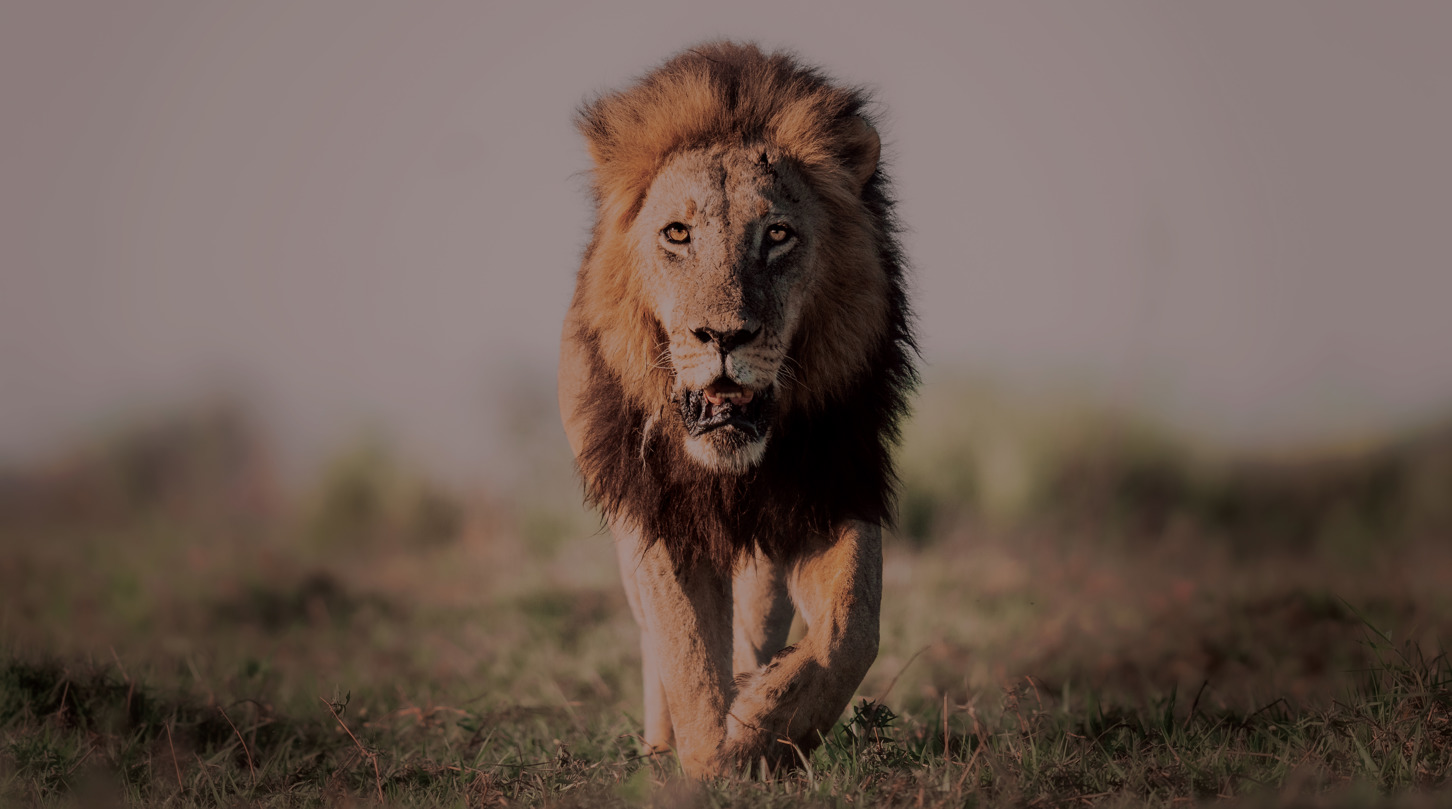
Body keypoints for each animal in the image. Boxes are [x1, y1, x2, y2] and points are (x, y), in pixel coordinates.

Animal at [557, 41, 916, 777]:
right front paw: (709, 766)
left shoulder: (832, 482)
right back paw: (660, 746)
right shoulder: (656, 512)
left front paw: (760, 726)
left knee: (757, 625)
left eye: (776, 234)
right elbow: (688, 655)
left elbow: (852, 626)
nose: (723, 336)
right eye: (677, 233)